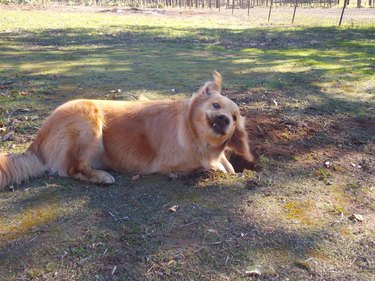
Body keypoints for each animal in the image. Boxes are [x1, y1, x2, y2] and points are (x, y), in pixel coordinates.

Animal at [0, 72, 254, 189]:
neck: (195, 136)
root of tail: (36, 143)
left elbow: (226, 165)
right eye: (216, 105)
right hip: (88, 120)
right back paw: (101, 177)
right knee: (73, 169)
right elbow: (208, 166)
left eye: (234, 117)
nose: (224, 120)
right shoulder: (171, 162)